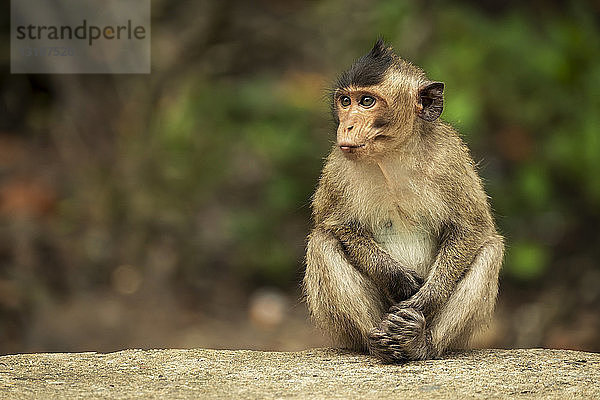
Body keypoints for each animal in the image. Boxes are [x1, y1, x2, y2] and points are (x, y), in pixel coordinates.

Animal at [302, 39, 504, 362]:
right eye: (345, 101)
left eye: (366, 101)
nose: (347, 126)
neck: (392, 155)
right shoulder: (336, 166)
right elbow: (336, 225)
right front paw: (396, 278)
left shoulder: (451, 158)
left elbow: (472, 228)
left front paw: (423, 301)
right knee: (322, 241)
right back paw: (377, 343)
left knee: (490, 249)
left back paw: (419, 341)